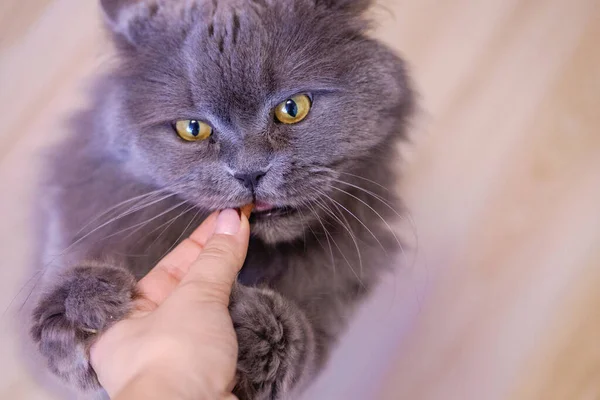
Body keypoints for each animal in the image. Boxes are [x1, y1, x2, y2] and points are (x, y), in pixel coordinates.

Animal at [28, 0, 412, 398]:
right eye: (192, 129)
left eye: (293, 108)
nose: (250, 172)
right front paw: (81, 308)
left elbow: (301, 351)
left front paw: (256, 329)